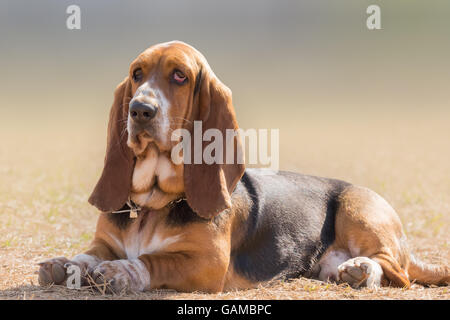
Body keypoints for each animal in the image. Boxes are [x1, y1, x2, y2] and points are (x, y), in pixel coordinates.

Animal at [37, 40, 446, 292]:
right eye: (137, 74)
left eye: (180, 76)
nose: (140, 109)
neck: (154, 204)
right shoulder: (104, 242)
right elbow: (88, 253)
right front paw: (67, 264)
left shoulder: (207, 263)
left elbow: (154, 261)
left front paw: (121, 271)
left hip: (358, 209)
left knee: (396, 271)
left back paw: (362, 269)